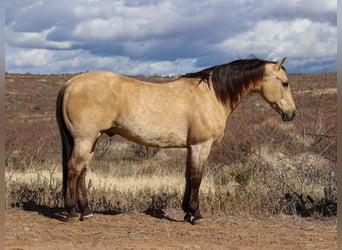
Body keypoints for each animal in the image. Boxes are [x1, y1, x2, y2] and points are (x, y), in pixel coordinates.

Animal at [56, 58, 296, 225]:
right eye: (284, 83)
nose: (291, 114)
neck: (211, 95)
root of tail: (70, 83)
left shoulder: (191, 147)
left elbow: (188, 176)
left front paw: (187, 212)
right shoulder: (201, 145)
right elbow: (197, 178)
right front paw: (196, 214)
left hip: (91, 140)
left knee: (82, 171)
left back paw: (86, 212)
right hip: (85, 140)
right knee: (74, 168)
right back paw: (72, 212)